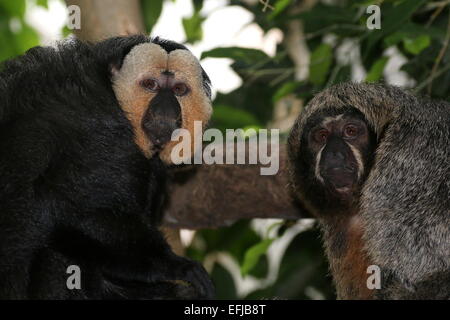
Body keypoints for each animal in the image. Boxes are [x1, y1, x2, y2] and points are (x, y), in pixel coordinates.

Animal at [0, 35, 214, 300]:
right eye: (150, 85)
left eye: (179, 90)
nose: (166, 107)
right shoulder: (102, 130)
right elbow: (67, 207)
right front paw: (176, 266)